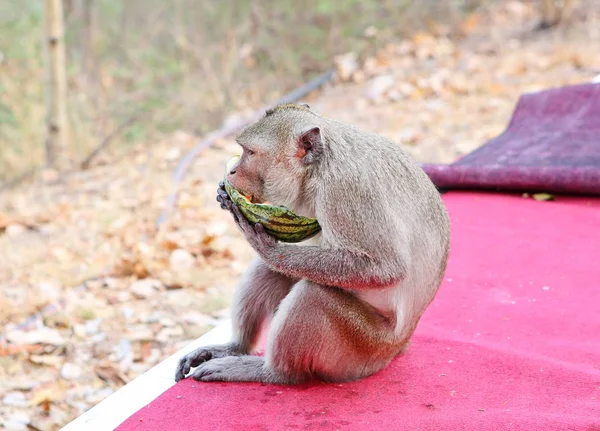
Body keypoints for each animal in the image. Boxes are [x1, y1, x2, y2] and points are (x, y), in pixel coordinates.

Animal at [173, 103, 450, 386]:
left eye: (250, 153)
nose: (231, 171)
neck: (320, 166)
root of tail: (399, 345)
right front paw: (224, 194)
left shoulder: (346, 190)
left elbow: (386, 268)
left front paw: (270, 248)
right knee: (274, 270)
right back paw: (236, 347)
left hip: (364, 347)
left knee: (311, 295)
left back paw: (272, 372)